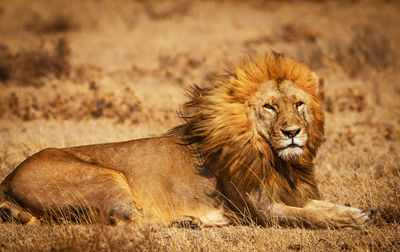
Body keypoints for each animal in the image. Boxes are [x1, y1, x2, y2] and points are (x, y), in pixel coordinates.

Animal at [0, 53, 370, 228]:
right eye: (269, 106)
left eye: (299, 104)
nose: (292, 132)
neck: (273, 158)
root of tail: (8, 178)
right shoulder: (261, 210)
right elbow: (309, 216)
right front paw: (348, 219)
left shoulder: (289, 194)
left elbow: (318, 205)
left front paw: (355, 211)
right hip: (107, 177)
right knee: (129, 221)